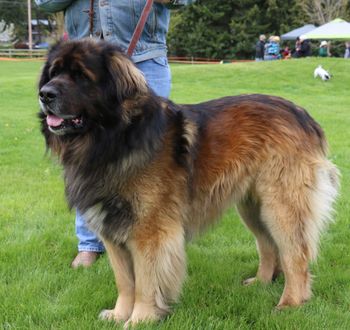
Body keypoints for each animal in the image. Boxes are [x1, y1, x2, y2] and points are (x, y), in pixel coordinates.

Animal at [38, 39, 340, 324]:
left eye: (81, 76)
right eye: (53, 73)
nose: (45, 94)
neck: (116, 138)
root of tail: (303, 115)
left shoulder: (149, 233)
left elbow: (145, 283)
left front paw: (140, 319)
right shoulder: (112, 231)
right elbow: (124, 281)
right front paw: (119, 314)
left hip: (281, 207)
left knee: (295, 255)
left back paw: (290, 303)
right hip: (253, 207)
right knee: (268, 246)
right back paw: (260, 283)